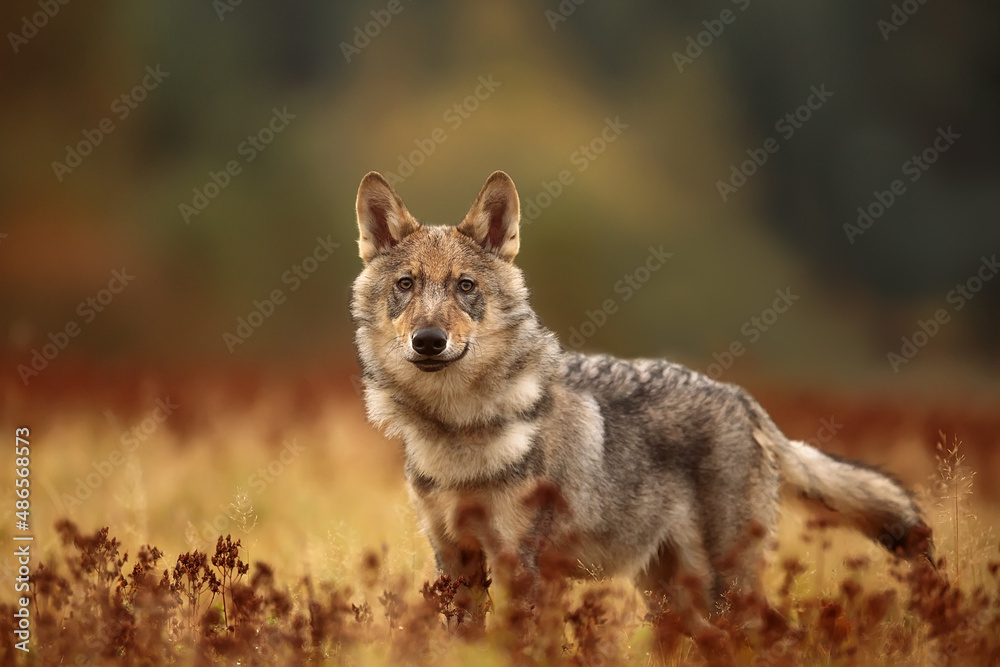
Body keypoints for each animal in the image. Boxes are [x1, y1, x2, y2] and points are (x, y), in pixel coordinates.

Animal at [350, 170, 931, 624]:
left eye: (465, 286)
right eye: (406, 284)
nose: (428, 340)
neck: (456, 430)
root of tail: (743, 399)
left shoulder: (521, 562)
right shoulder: (454, 561)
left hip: (724, 587)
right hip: (670, 597)